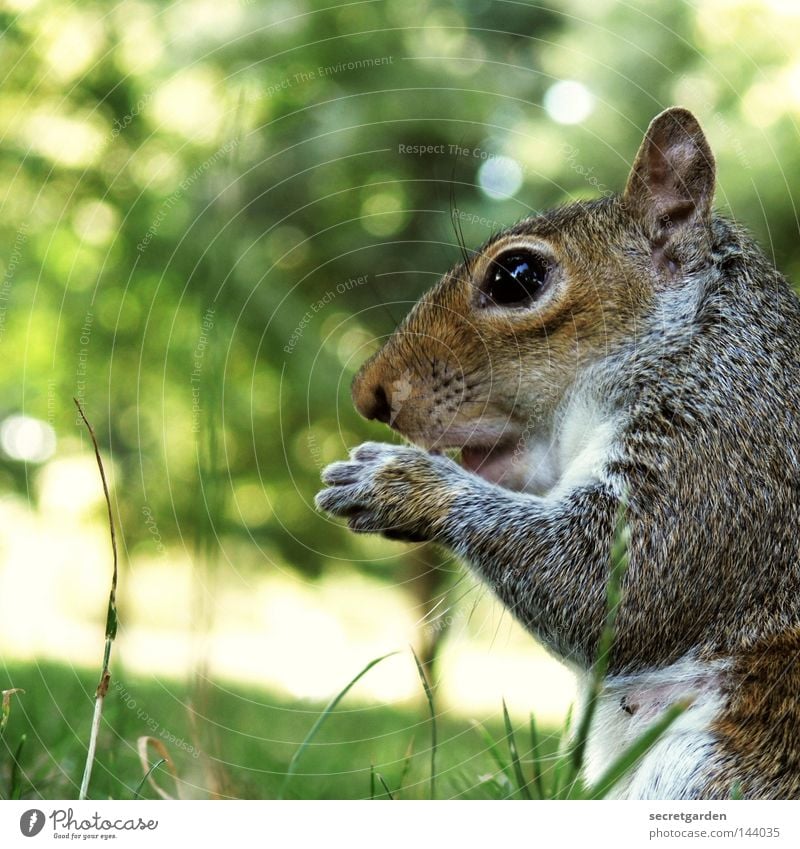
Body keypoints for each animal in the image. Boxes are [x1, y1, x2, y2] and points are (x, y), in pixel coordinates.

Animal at [312, 109, 800, 800]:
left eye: (516, 277)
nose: (369, 394)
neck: (692, 341)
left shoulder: (725, 452)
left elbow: (611, 590)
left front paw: (396, 482)